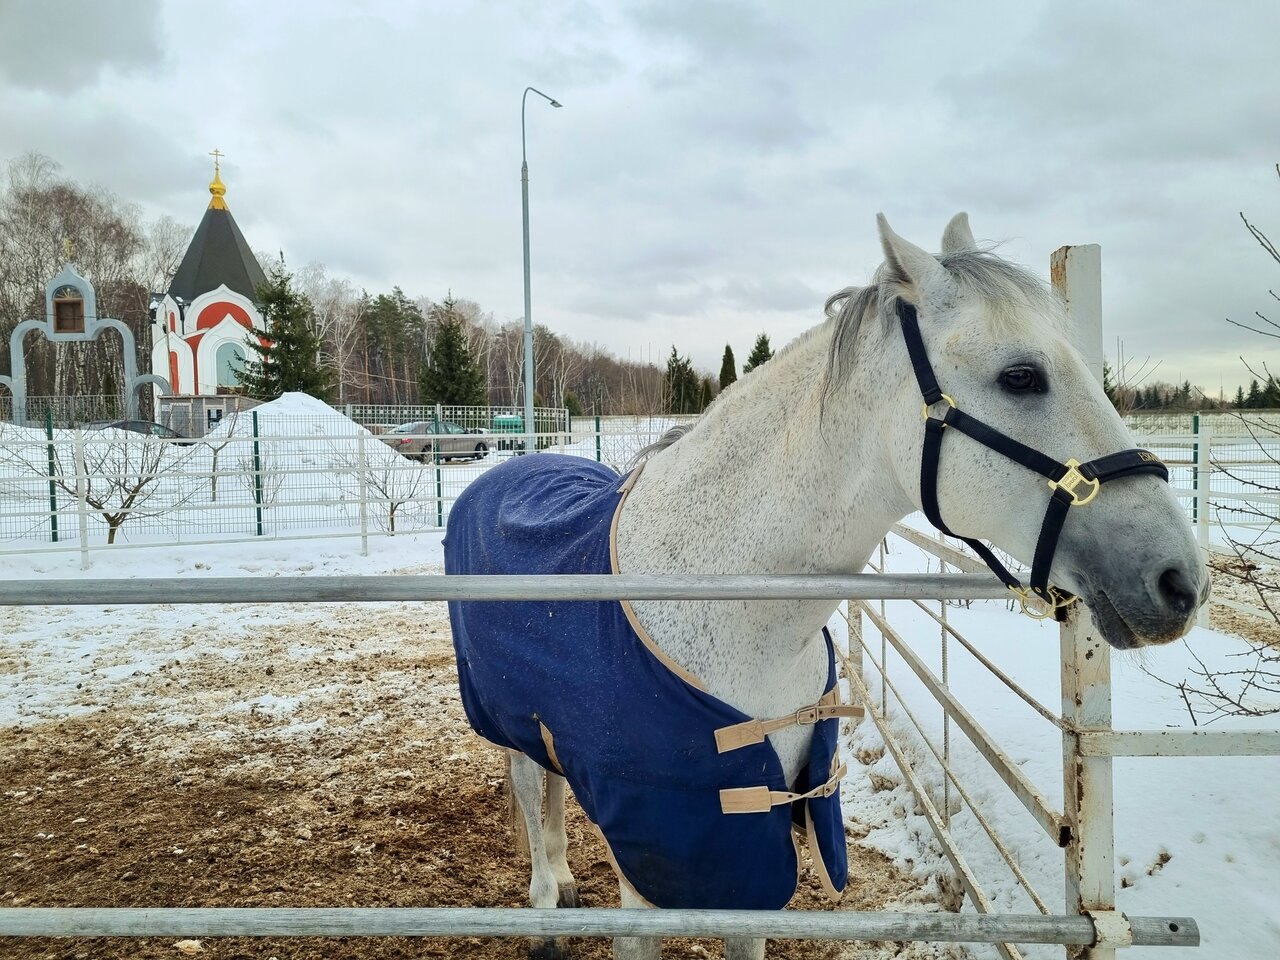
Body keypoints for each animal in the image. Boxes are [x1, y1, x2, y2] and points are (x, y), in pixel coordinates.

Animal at [443, 213, 1207, 960]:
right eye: (1021, 376)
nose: (1181, 582)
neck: (729, 609)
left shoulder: (751, 842)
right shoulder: (648, 852)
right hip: (506, 721)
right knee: (531, 790)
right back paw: (548, 901)